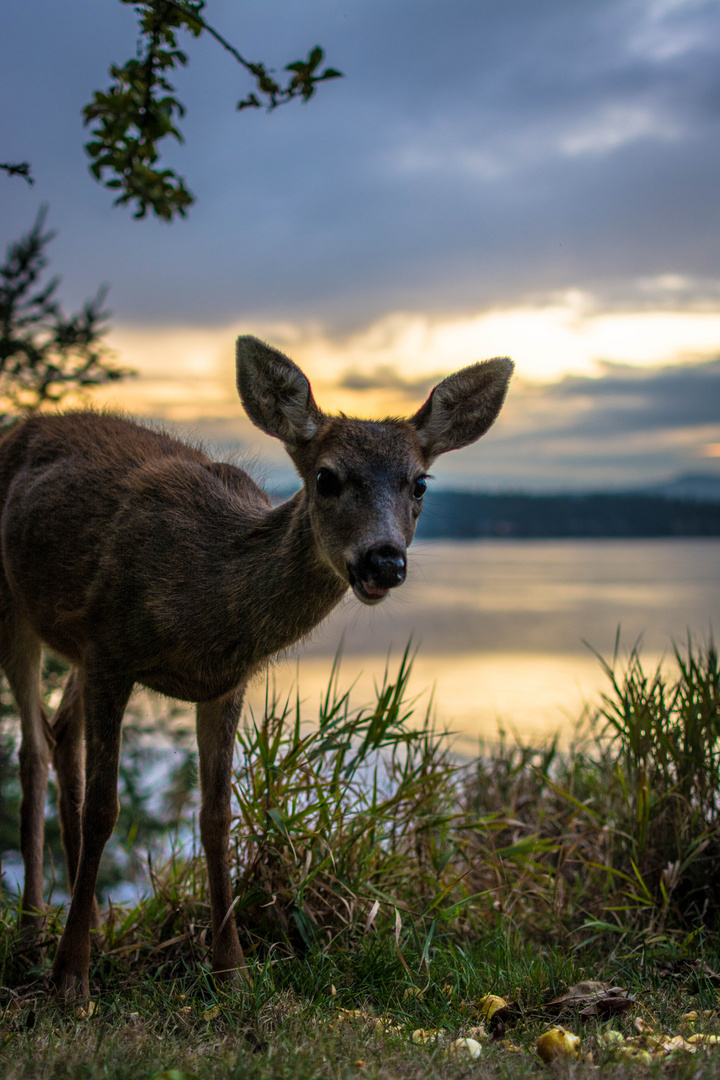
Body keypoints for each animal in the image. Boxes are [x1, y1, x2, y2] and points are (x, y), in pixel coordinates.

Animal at [0, 334, 511, 993]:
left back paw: (74, 922)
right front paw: (72, 981)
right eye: (326, 477)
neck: (204, 600)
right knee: (31, 751)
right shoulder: (111, 648)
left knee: (60, 734)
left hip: (74, 649)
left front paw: (232, 971)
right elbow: (105, 809)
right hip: (13, 608)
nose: (383, 560)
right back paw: (35, 937)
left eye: (420, 483)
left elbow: (217, 816)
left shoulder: (219, 681)